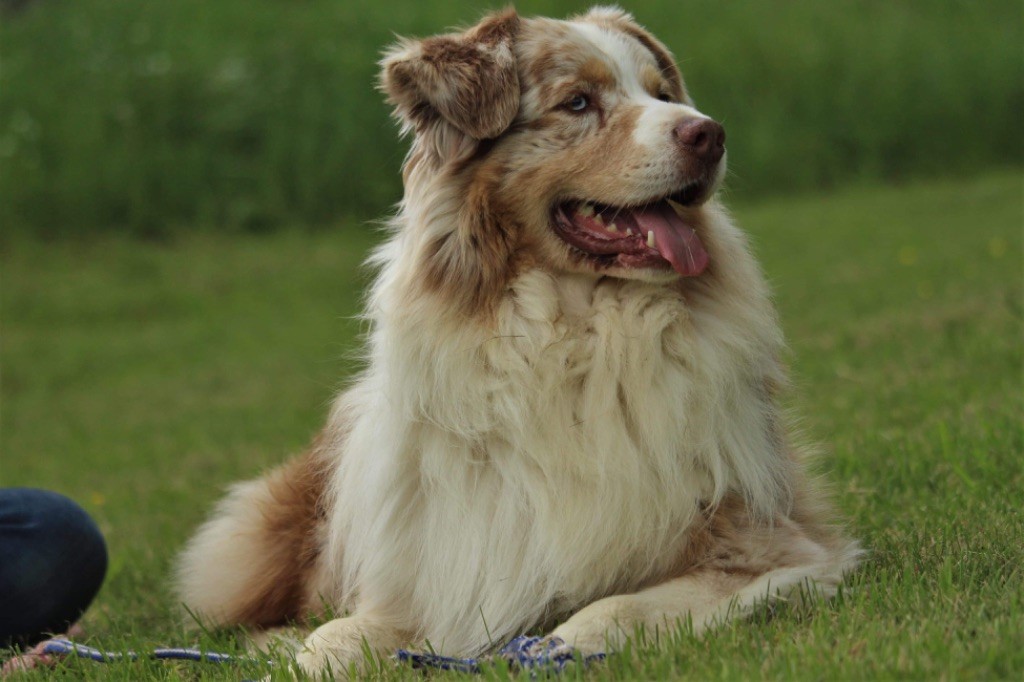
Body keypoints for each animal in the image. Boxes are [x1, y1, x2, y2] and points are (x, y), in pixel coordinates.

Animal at [174, 6, 856, 675]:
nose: (709, 134)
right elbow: (326, 645)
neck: (574, 340)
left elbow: (605, 613)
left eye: (663, 94)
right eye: (578, 102)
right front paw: (295, 649)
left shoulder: (768, 546)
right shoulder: (426, 585)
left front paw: (560, 643)